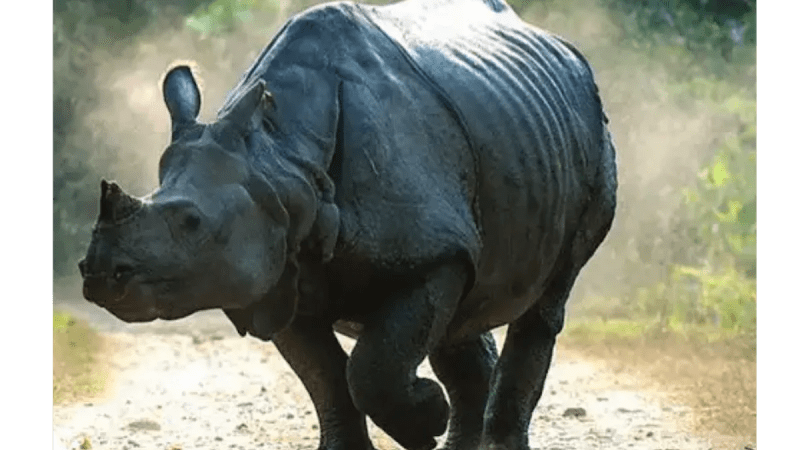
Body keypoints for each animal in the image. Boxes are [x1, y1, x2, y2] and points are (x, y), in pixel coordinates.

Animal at [78, 0, 617, 448]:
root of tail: (564, 50)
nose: (100, 274)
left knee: (546, 300)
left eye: (191, 222)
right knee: (463, 309)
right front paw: (408, 422)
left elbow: (370, 371)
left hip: (592, 132)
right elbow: (327, 379)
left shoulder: (431, 256)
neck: (282, 159)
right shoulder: (280, 268)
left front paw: (426, 417)